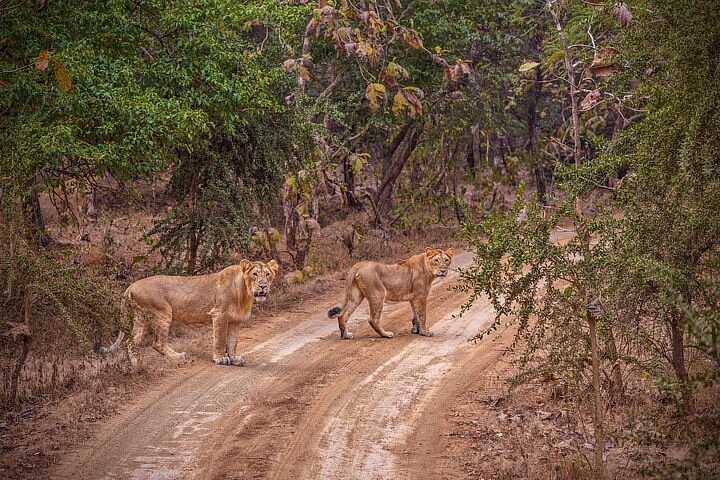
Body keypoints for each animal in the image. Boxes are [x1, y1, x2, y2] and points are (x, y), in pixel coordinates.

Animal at [96, 259, 279, 367]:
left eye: (267, 274)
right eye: (254, 274)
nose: (263, 286)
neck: (244, 293)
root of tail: (131, 286)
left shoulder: (235, 320)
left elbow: (233, 342)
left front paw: (234, 359)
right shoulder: (219, 314)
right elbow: (220, 340)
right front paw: (220, 358)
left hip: (143, 320)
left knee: (131, 341)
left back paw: (135, 364)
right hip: (162, 312)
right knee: (157, 343)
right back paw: (179, 357)